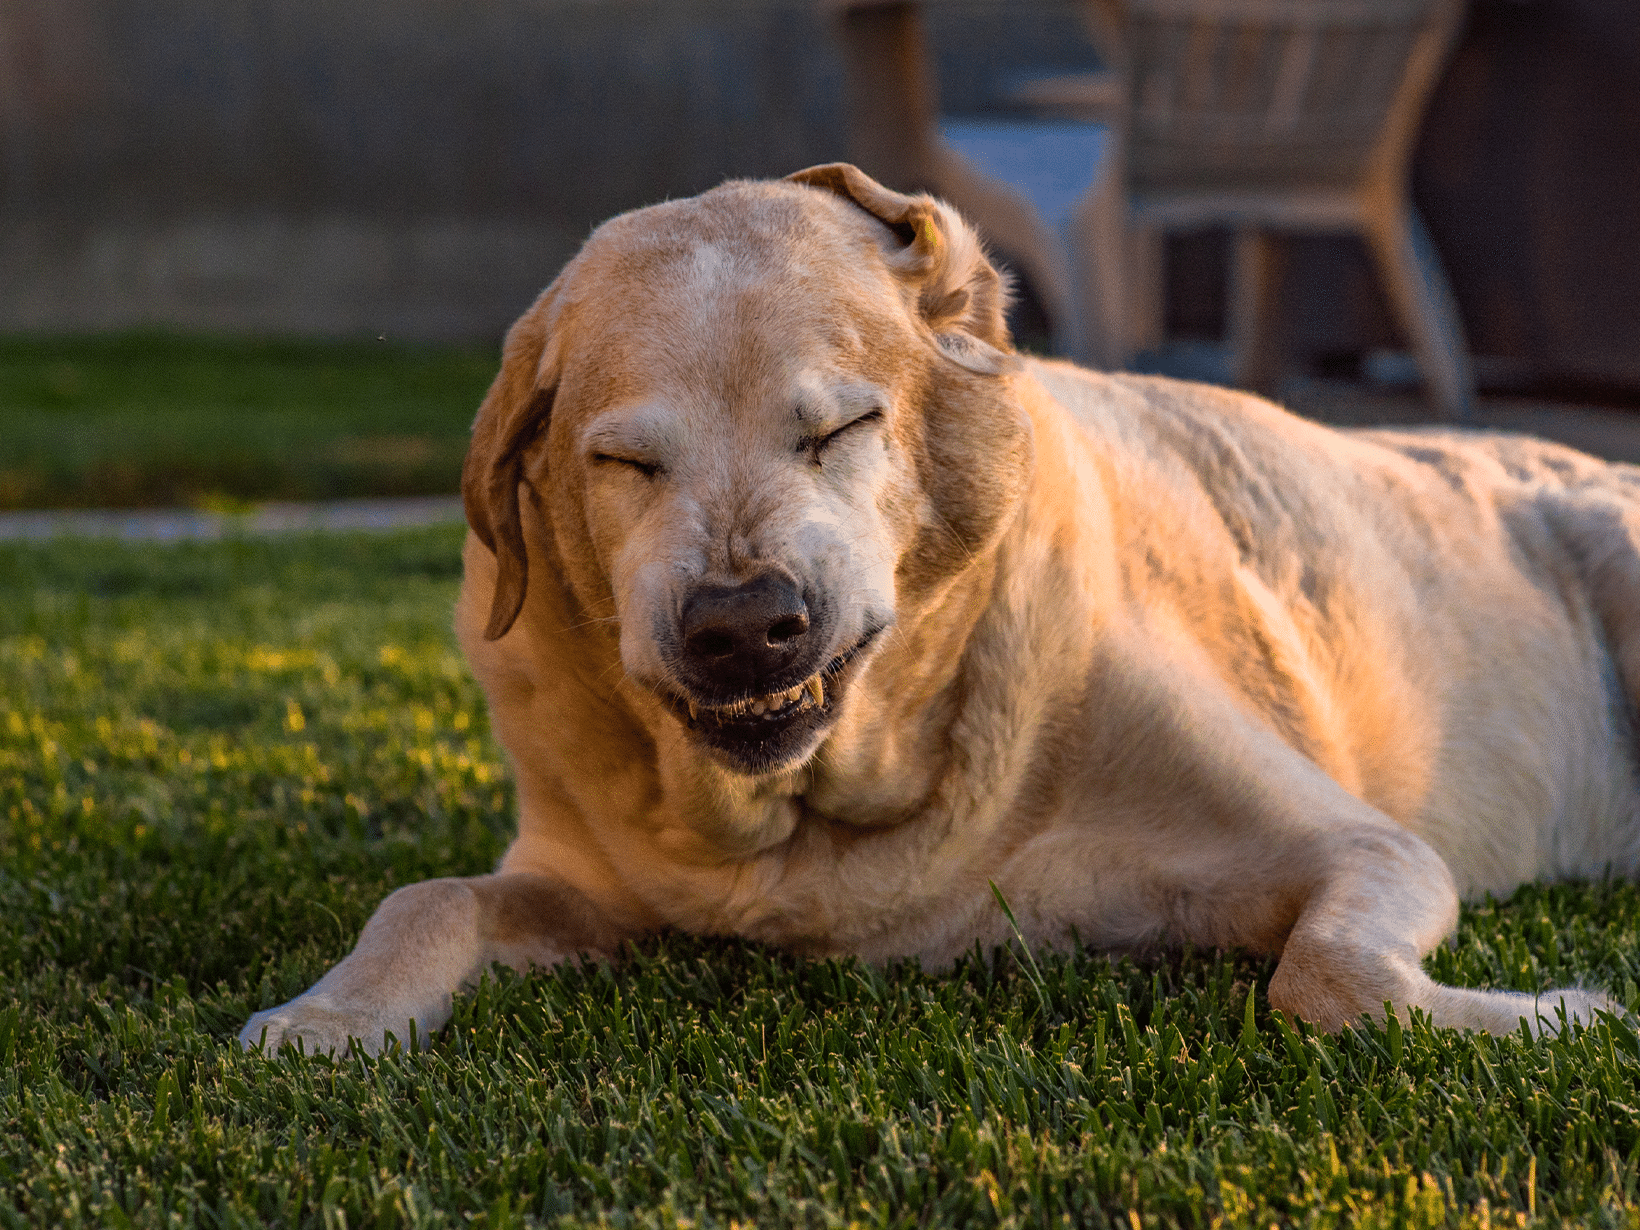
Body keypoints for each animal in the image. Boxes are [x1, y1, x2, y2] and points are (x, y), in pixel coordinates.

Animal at [242, 164, 1640, 1062]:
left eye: (840, 428)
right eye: (625, 463)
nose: (742, 626)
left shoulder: (1368, 852)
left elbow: (1331, 974)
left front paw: (1558, 1013)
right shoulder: (583, 886)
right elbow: (425, 897)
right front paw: (328, 1017)